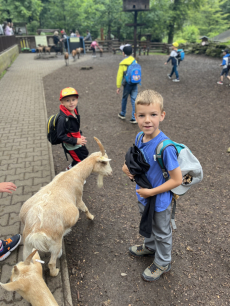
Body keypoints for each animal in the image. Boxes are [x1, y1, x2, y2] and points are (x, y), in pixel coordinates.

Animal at [19, 137, 112, 276]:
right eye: (104, 163)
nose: (111, 173)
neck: (74, 174)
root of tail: (35, 231)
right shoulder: (78, 196)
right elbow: (84, 207)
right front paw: (91, 217)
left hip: (27, 244)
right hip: (55, 242)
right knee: (51, 262)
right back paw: (56, 270)